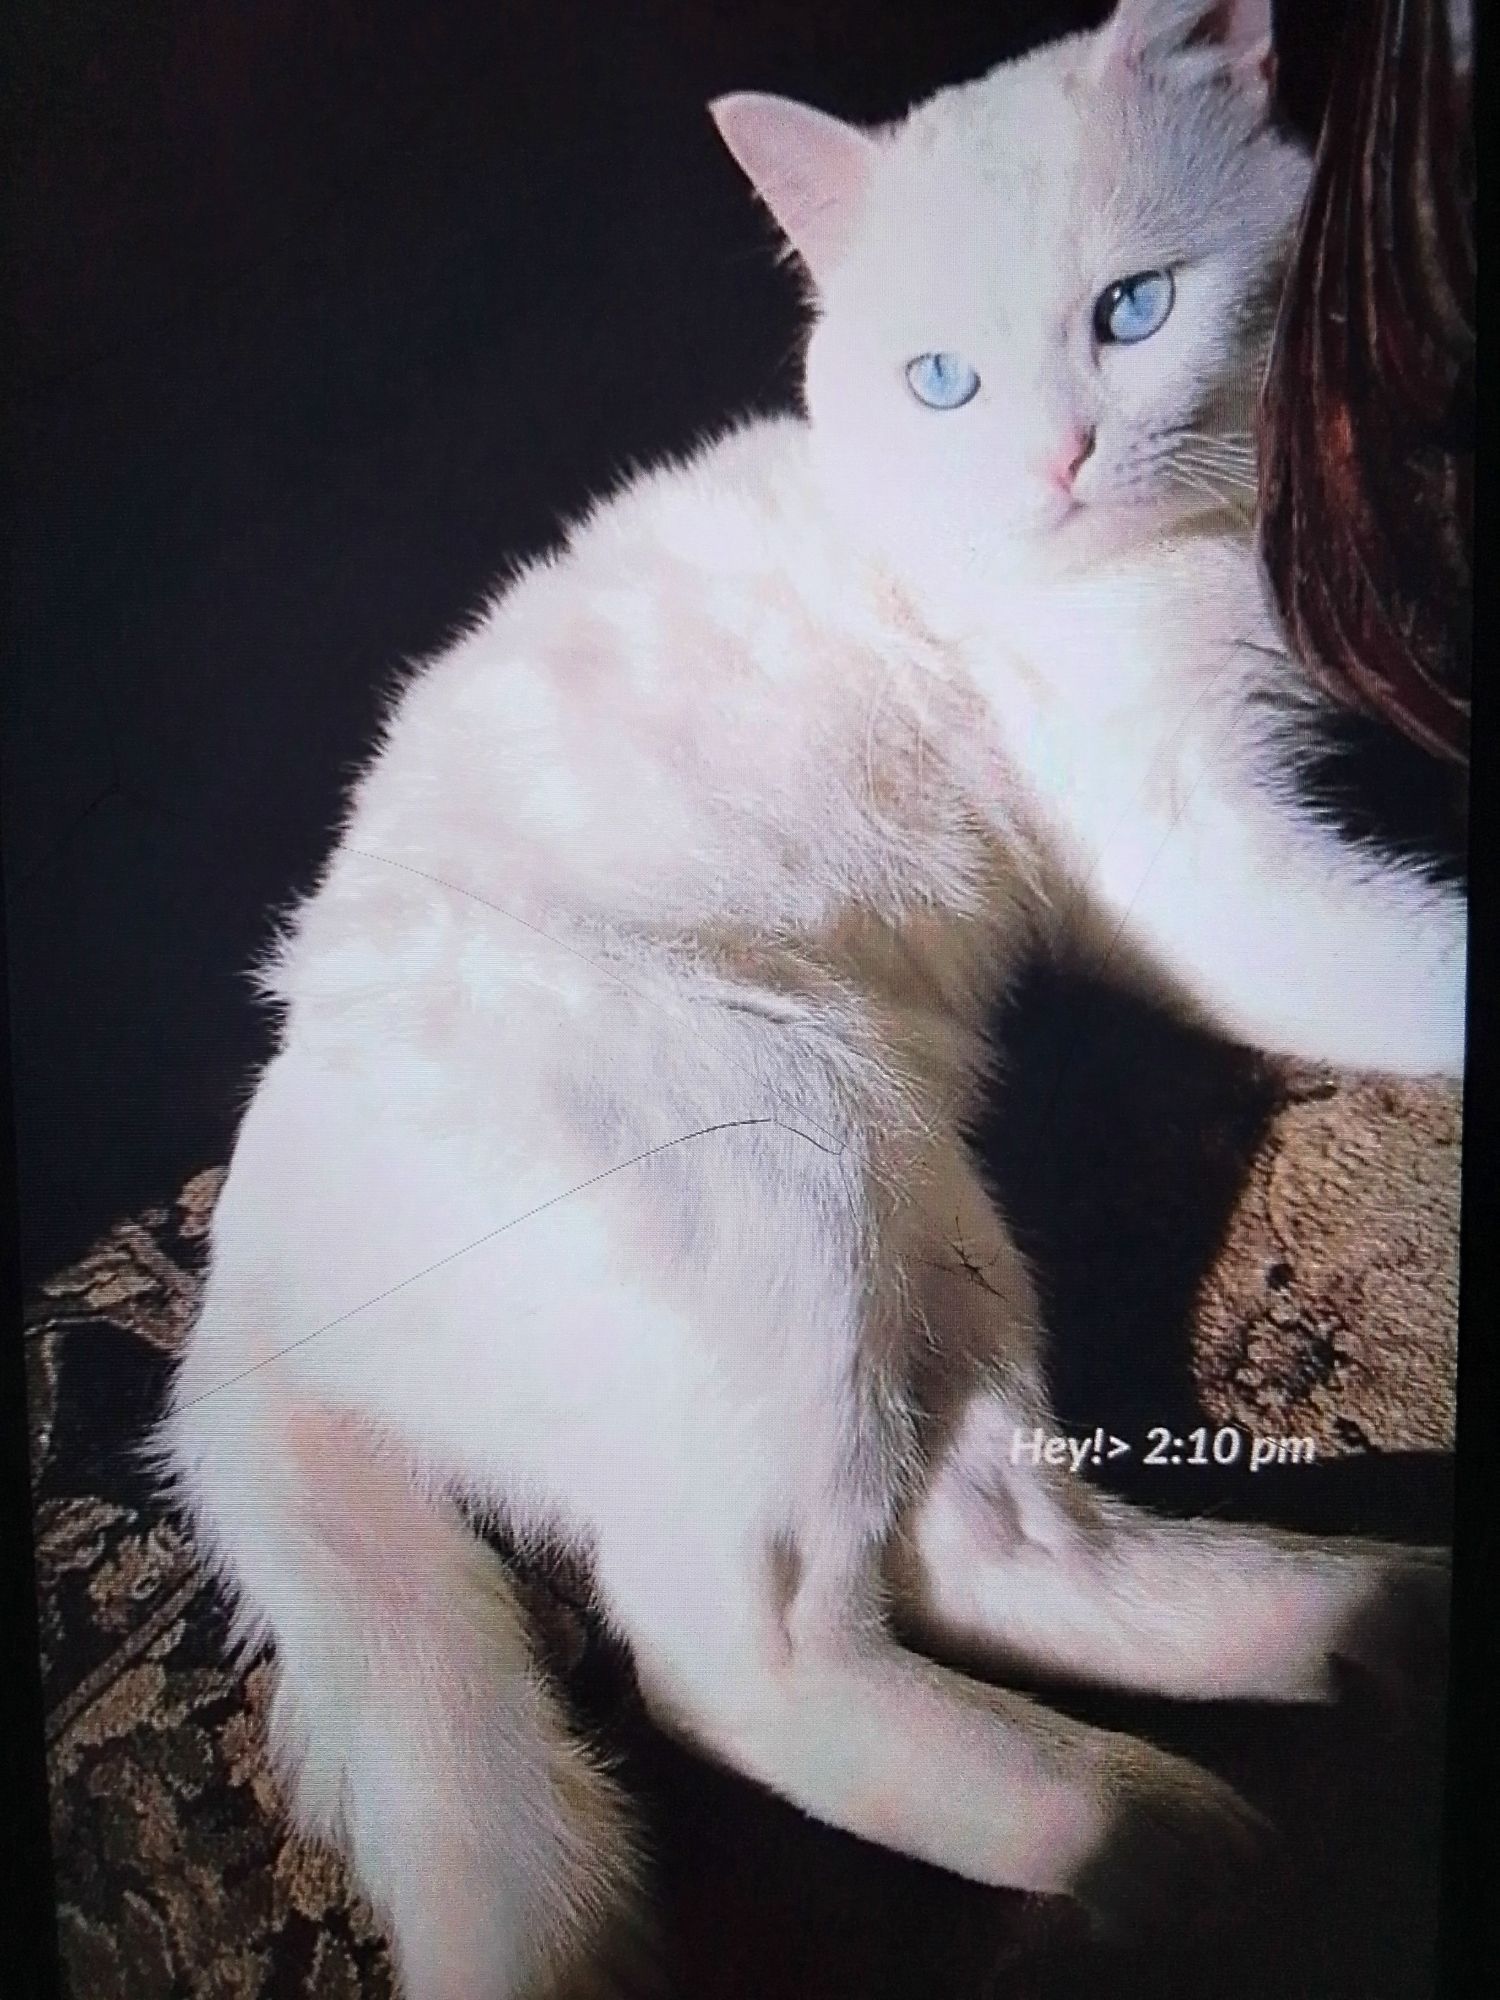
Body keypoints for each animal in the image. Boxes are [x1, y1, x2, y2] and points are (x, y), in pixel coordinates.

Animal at [156, 2, 1465, 1995]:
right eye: (940, 382)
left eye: (1135, 310)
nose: (1059, 461)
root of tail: (244, 1295)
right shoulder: (1189, 862)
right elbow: (1409, 963)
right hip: (788, 1168)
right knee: (737, 1664)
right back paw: (1138, 1835)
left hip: (935, 1218)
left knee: (986, 1547)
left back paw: (1344, 1640)